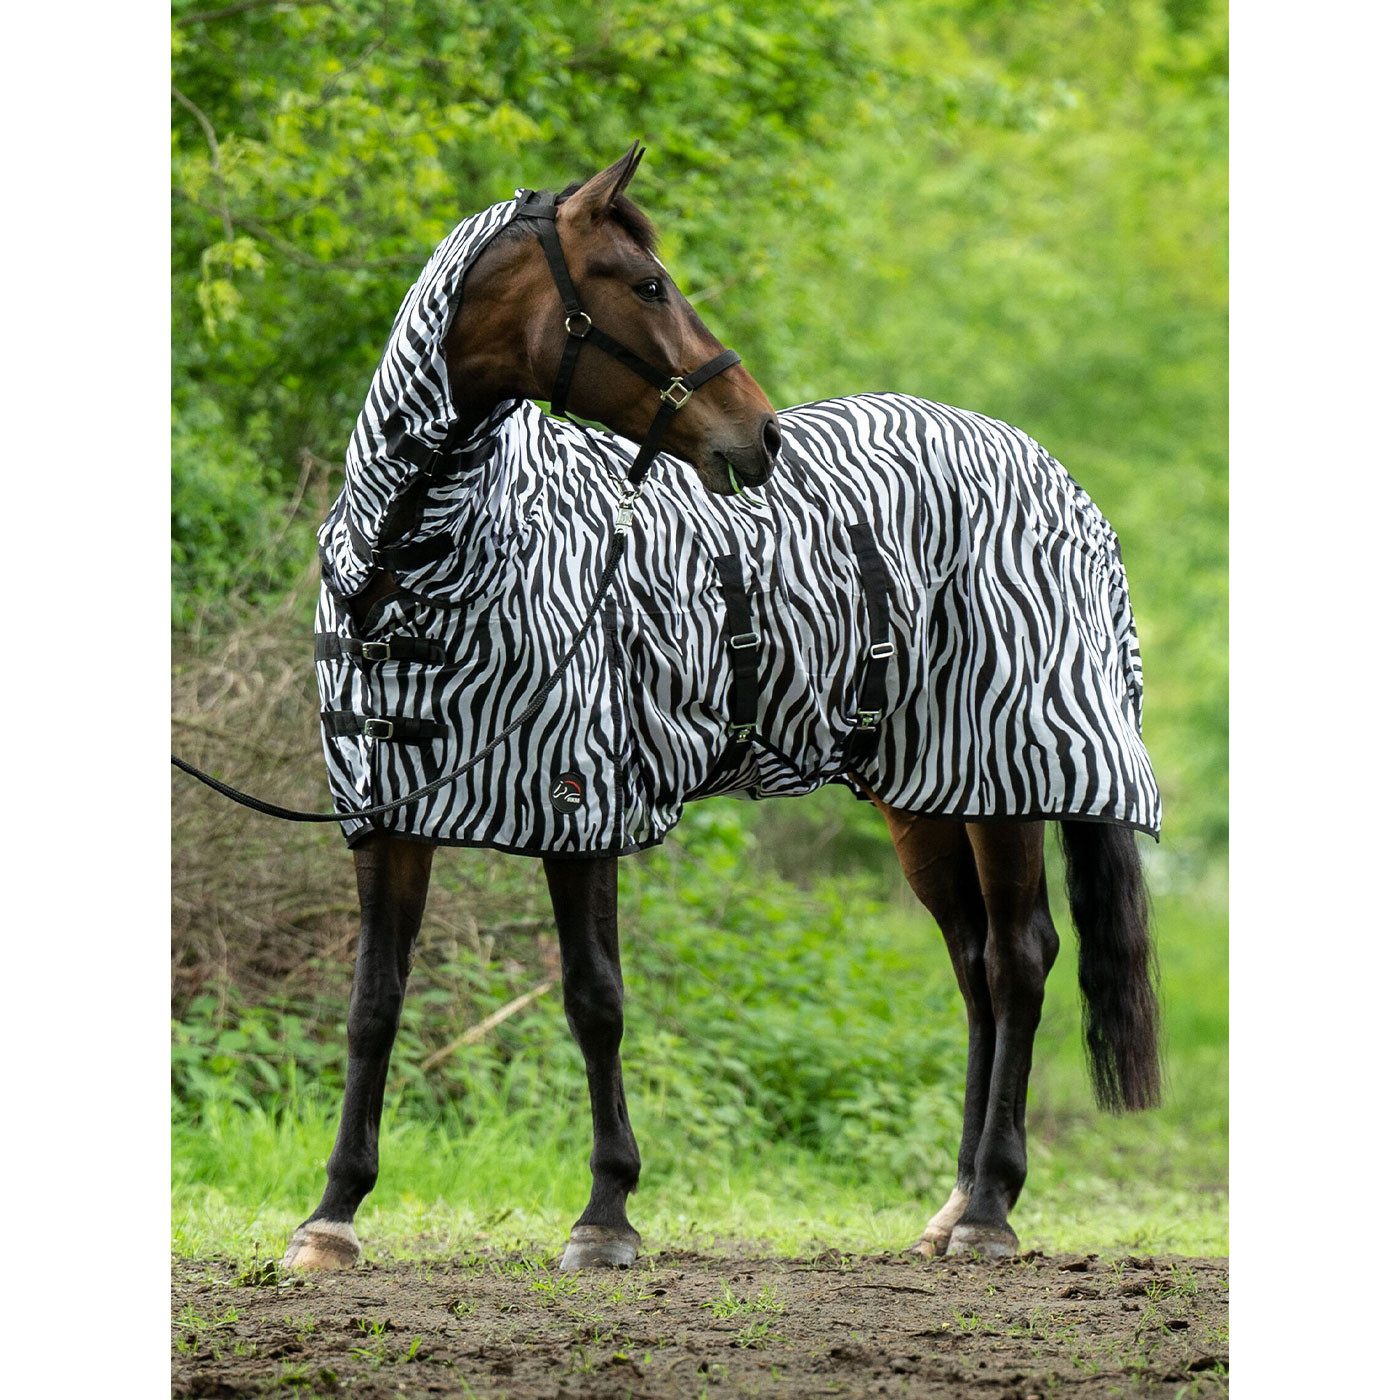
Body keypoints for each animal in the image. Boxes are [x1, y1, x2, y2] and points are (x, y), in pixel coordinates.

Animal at [281, 147, 1161, 1274]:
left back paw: (990, 1212)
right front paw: (332, 1213)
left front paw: (605, 1213)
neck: (412, 573)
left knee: (1018, 959)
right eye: (647, 284)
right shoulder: (387, 815)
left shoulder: (579, 801)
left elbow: (593, 999)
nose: (760, 432)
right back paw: (954, 1202)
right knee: (973, 965)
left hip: (1002, 775)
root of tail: (1053, 477)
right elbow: (372, 1006)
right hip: (920, 794)